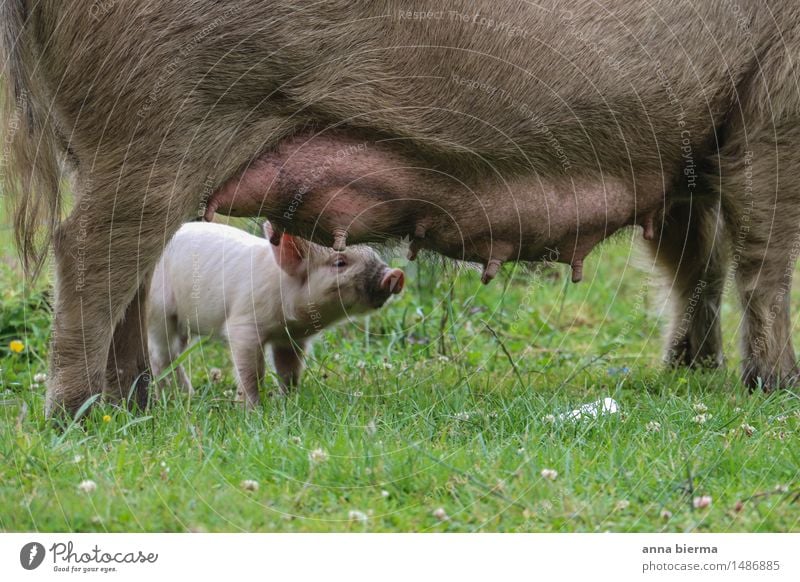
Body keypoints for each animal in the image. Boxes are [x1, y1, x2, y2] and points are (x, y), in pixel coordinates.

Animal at [1, 1, 800, 420]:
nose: (389, 274)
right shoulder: (772, 92)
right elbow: (765, 250)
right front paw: (775, 387)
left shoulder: (687, 137)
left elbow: (697, 252)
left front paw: (694, 369)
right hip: (157, 114)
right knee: (88, 247)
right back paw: (80, 413)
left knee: (128, 266)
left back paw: (132, 402)